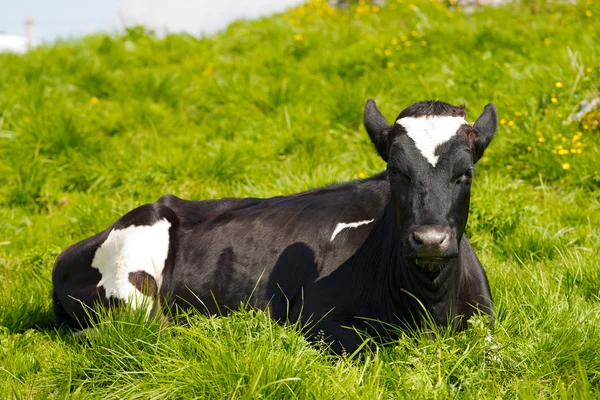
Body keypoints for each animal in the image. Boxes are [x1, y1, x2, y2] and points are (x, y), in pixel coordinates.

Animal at [54, 99, 496, 354]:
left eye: (466, 173)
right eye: (395, 171)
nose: (429, 240)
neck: (431, 306)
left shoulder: (487, 323)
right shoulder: (315, 318)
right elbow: (372, 346)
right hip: (134, 274)